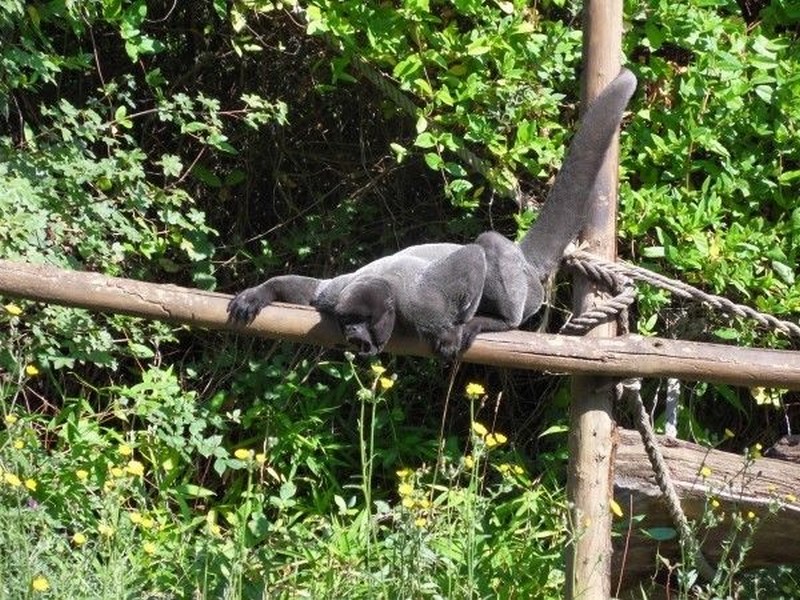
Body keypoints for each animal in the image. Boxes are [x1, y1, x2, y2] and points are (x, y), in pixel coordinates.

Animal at [227, 68, 637, 360]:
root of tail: (523, 259)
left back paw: (500, 319)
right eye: (346, 321)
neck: (390, 297)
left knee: (488, 244)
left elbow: (471, 260)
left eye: (363, 321)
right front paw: (260, 293)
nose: (354, 336)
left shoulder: (424, 307)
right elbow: (312, 290)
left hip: (525, 288)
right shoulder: (336, 295)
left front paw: (460, 329)